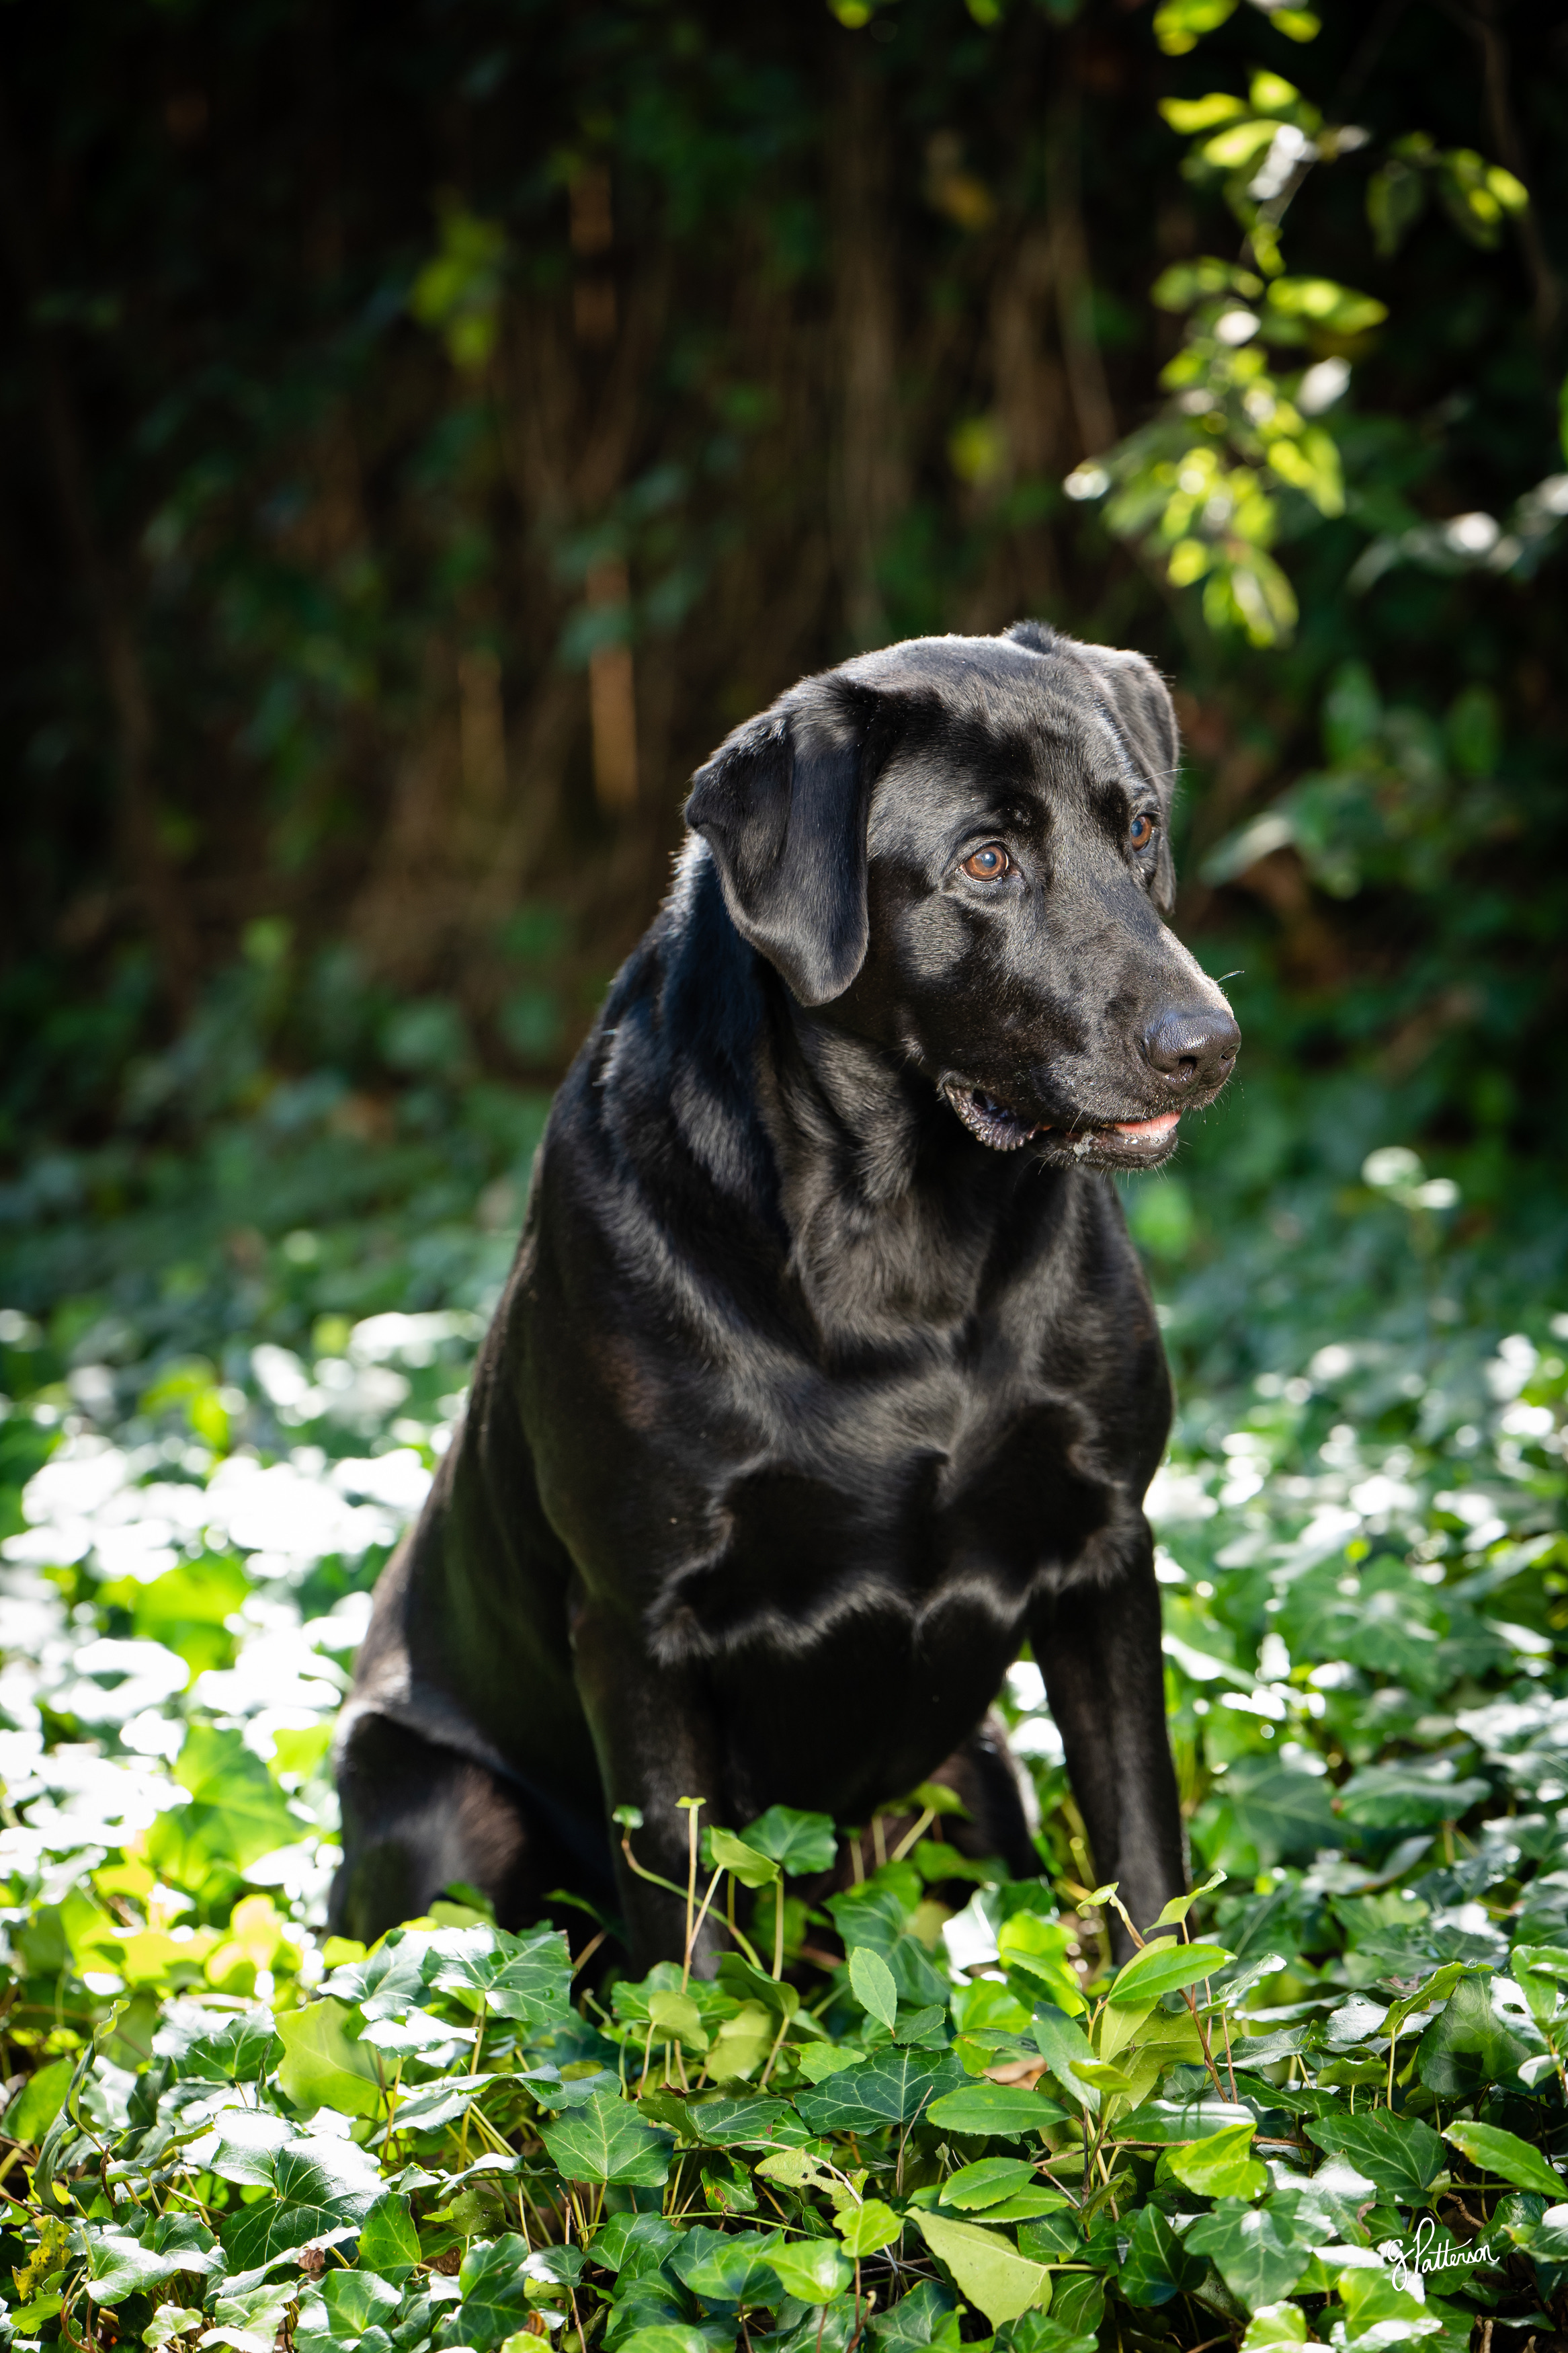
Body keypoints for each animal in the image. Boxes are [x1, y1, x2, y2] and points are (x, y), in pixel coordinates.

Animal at [331, 626, 1241, 1967]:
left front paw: (1171, 2025)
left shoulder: (1105, 1554)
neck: (903, 1238)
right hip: (440, 1817)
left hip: (977, 1784)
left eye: (1136, 828)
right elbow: (684, 1925)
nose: (1208, 1043)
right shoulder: (637, 1627)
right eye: (985, 860)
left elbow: (1141, 1851)